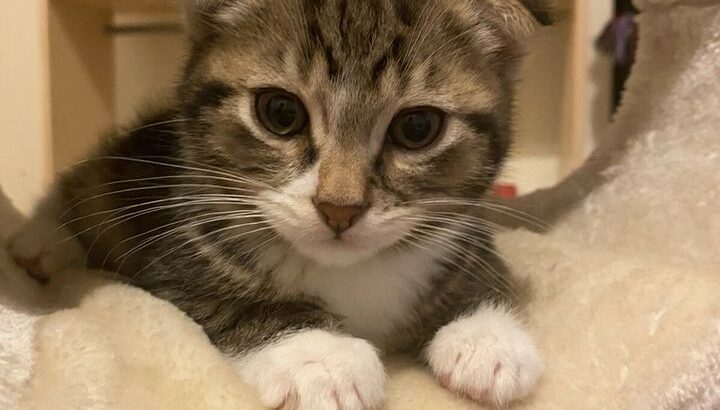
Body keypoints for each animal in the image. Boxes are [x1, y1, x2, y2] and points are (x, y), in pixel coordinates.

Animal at [11, 1, 548, 408]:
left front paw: (486, 334)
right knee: (86, 187)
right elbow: (216, 298)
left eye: (417, 128)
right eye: (281, 113)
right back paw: (43, 243)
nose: (339, 208)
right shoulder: (173, 252)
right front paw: (318, 356)